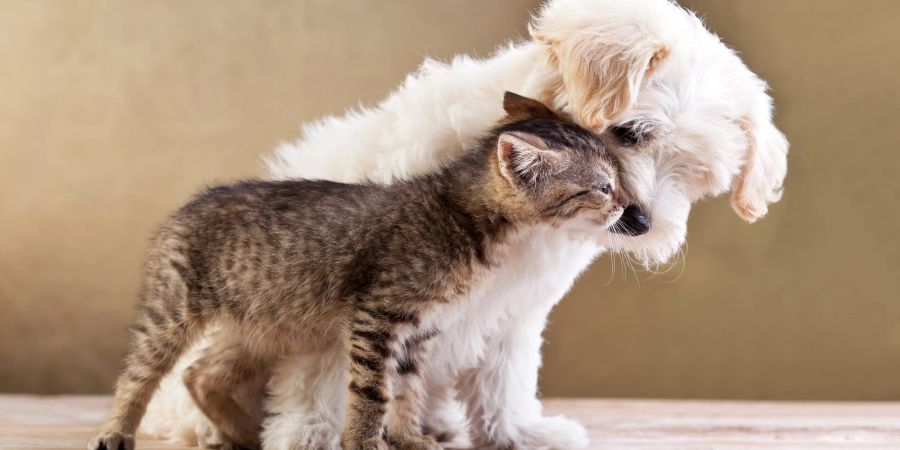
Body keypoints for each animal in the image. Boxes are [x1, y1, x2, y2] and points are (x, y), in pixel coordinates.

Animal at [89, 92, 624, 450]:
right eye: (601, 186)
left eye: (616, 178)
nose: (626, 207)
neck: (464, 216)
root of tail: (191, 202)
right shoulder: (377, 315)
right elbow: (372, 389)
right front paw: (366, 440)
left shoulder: (420, 330)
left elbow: (407, 390)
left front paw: (408, 437)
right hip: (170, 311)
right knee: (137, 375)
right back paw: (115, 431)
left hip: (263, 327)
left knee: (201, 374)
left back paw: (248, 433)